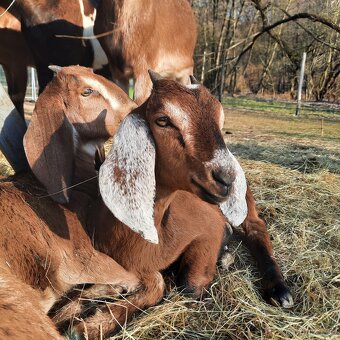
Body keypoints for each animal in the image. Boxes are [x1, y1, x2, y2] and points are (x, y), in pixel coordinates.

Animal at [54, 71, 294, 338]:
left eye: (220, 120)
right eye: (162, 120)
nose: (226, 178)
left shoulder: (208, 227)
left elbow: (185, 286)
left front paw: (88, 326)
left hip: (245, 199)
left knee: (255, 227)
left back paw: (278, 290)